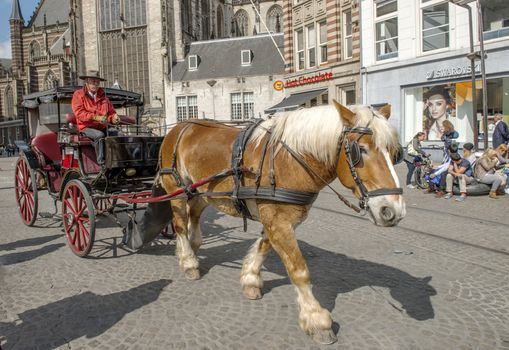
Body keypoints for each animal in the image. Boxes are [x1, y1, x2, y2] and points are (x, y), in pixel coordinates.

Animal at [126, 100, 404, 344]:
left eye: (394, 153)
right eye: (361, 150)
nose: (394, 211)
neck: (290, 160)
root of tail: (178, 128)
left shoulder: (278, 219)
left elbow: (263, 247)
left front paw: (250, 279)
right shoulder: (278, 222)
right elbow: (299, 271)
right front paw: (316, 319)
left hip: (203, 191)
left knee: (193, 216)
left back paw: (193, 249)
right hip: (176, 189)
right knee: (181, 224)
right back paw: (188, 261)